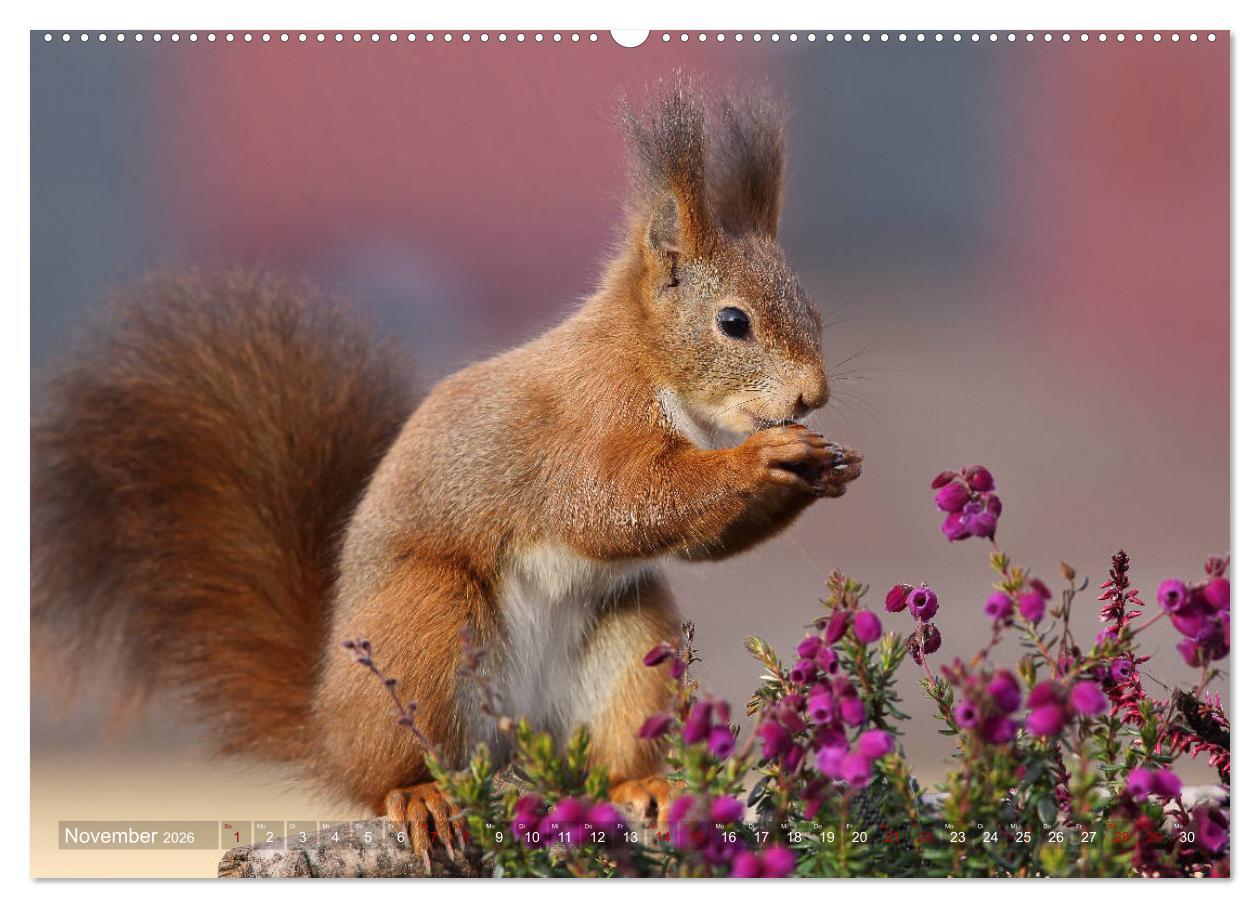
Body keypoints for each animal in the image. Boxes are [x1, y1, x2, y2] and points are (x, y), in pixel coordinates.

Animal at [31, 80, 862, 870]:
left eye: (814, 311)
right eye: (733, 323)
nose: (812, 396)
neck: (649, 364)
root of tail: (326, 727)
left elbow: (695, 538)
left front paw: (828, 466)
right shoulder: (585, 423)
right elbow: (620, 503)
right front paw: (764, 459)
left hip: (630, 640)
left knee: (614, 739)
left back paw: (642, 785)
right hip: (425, 623)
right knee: (389, 771)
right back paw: (421, 796)